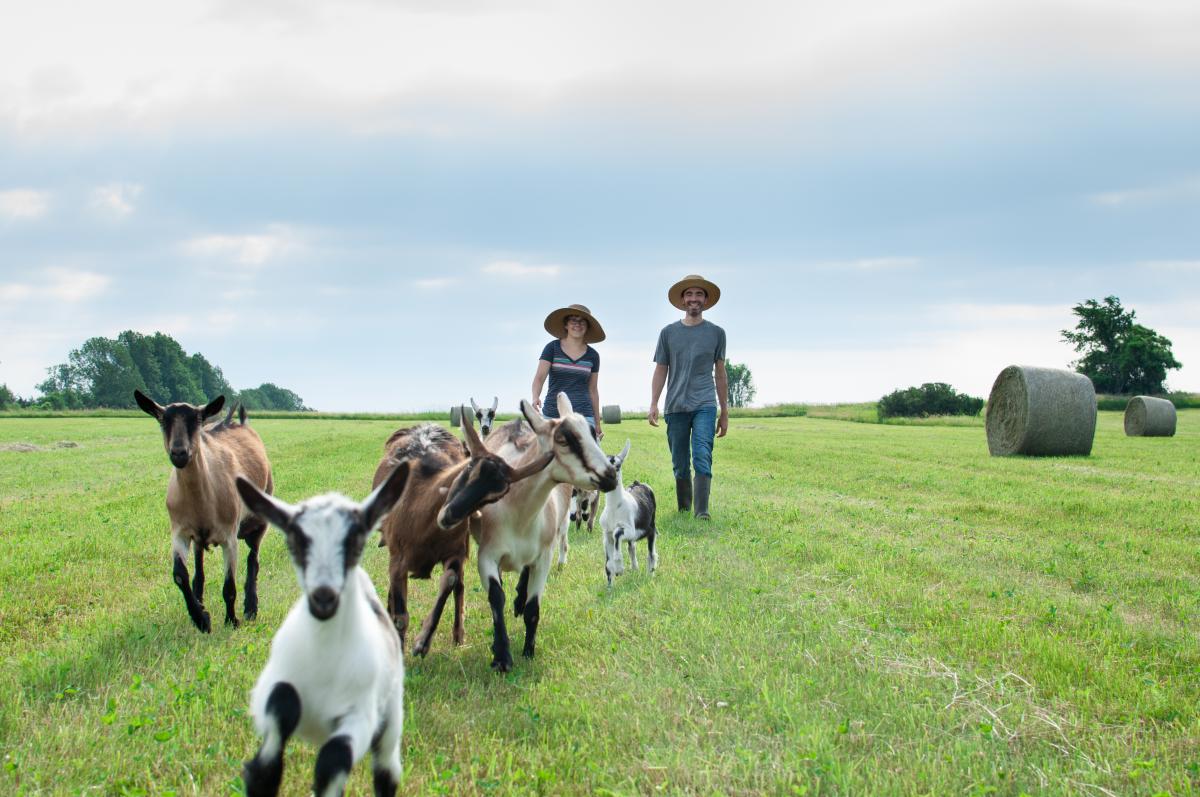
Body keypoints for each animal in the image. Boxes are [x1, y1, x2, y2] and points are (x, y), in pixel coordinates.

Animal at [134, 388, 272, 633]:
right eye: (163, 420)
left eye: (197, 420)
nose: (179, 453)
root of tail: (240, 423)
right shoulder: (180, 532)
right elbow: (180, 576)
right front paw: (201, 619)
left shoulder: (229, 536)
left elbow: (229, 586)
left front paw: (231, 621)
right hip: (198, 539)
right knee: (199, 572)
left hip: (260, 516)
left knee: (253, 559)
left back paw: (250, 608)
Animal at [234, 463, 412, 797]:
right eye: (294, 540)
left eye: (356, 540)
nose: (324, 597)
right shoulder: (266, 689)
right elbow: (282, 706)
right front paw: (261, 774)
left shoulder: (359, 715)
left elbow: (334, 758)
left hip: (391, 714)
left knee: (386, 772)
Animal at [372, 412, 549, 657]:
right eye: (469, 469)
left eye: (494, 497)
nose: (450, 516)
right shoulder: (398, 557)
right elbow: (400, 615)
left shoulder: (455, 552)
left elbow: (451, 581)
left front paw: (422, 642)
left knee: (460, 587)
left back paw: (458, 635)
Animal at [597, 441, 662, 585]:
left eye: (618, 466)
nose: (609, 480)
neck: (615, 508)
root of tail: (638, 483)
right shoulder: (606, 534)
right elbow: (608, 565)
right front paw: (610, 586)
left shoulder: (629, 530)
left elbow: (617, 533)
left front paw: (619, 568)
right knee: (632, 547)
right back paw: (635, 567)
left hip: (651, 528)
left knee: (651, 553)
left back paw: (650, 575)